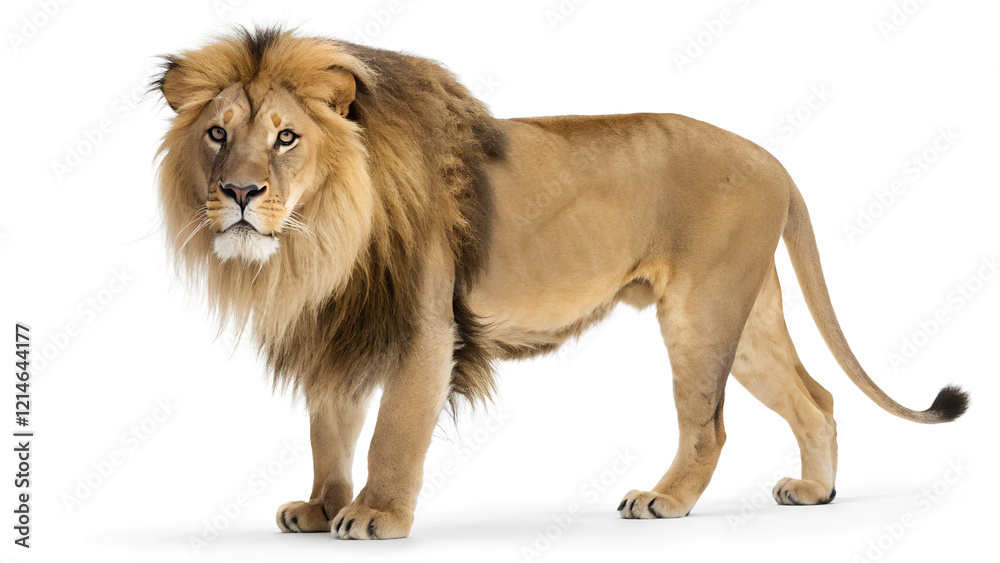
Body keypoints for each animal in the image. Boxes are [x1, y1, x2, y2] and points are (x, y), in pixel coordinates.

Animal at [153, 27, 969, 540]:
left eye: (287, 137)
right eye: (217, 134)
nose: (240, 193)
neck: (318, 240)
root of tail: (773, 159)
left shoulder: (425, 324)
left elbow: (393, 431)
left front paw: (377, 515)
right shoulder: (339, 325)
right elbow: (331, 430)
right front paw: (323, 508)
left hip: (701, 312)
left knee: (709, 424)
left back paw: (665, 499)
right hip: (750, 313)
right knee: (816, 396)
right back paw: (814, 490)